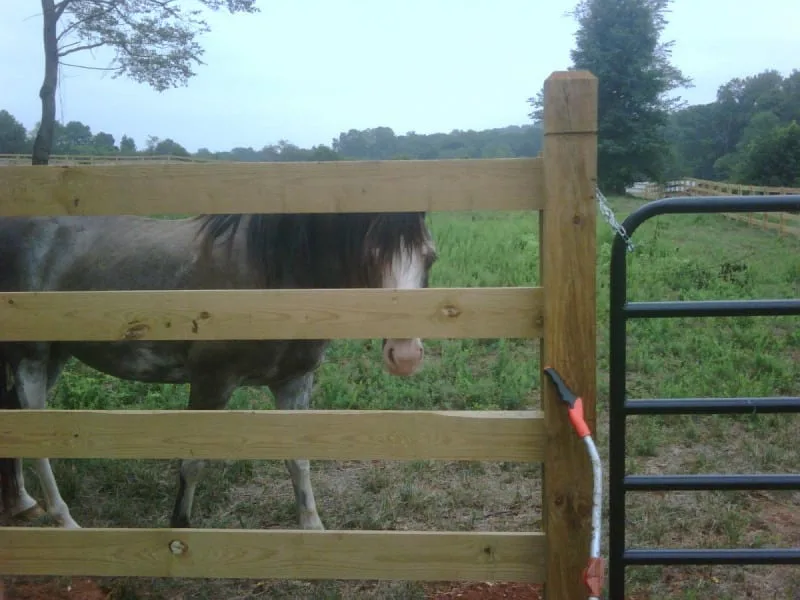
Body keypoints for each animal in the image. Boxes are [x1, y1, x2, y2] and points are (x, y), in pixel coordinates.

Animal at [0, 209, 438, 528]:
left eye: (429, 258)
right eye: (371, 255)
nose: (405, 355)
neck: (273, 281)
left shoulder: (294, 382)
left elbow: (298, 460)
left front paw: (312, 530)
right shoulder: (212, 383)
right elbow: (193, 463)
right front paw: (180, 528)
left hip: (55, 356)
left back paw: (22, 502)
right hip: (31, 357)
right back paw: (64, 519)